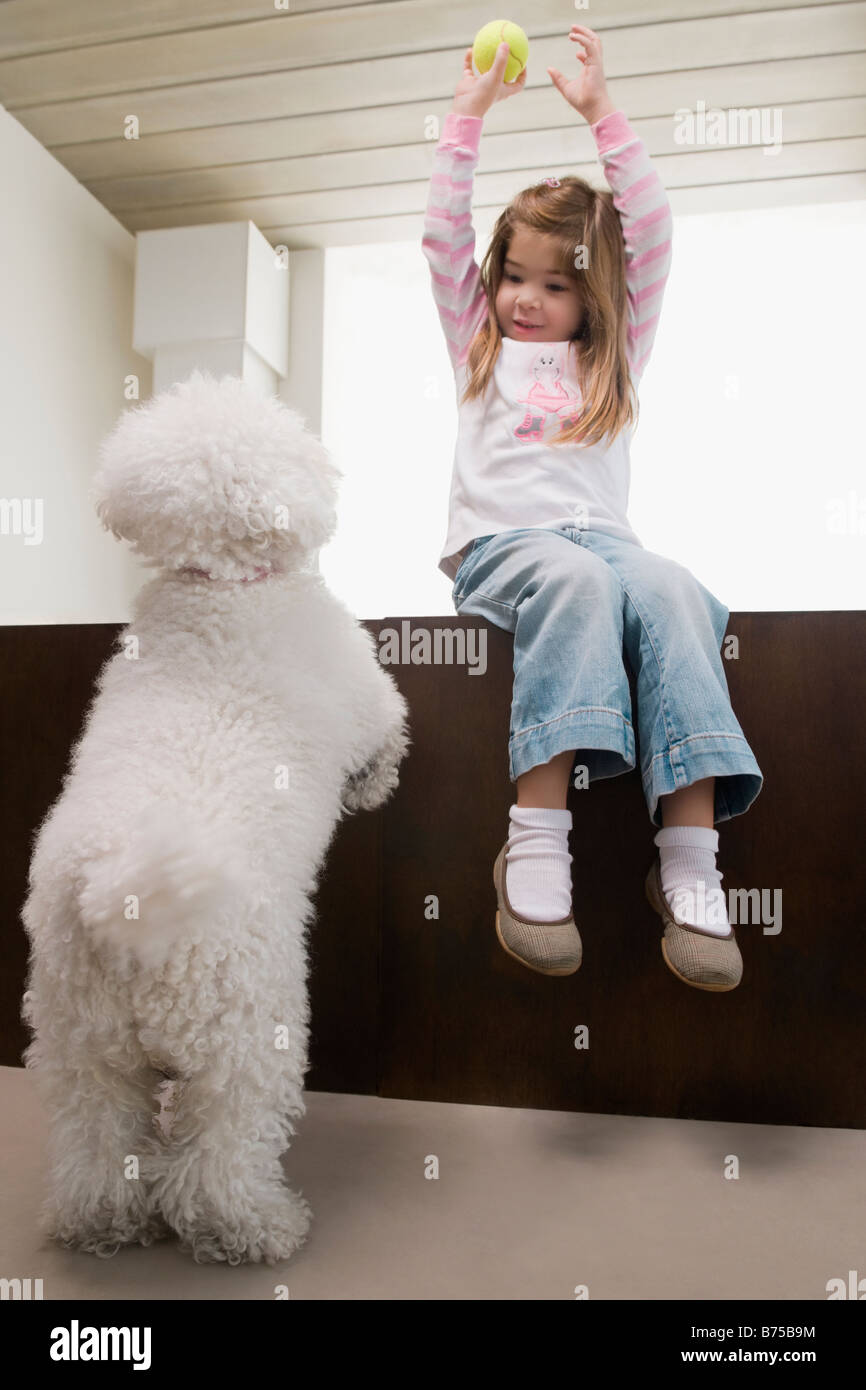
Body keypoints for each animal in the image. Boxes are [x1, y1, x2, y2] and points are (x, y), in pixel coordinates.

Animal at [20, 369, 411, 1273]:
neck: (220, 585)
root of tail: (118, 898)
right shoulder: (359, 686)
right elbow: (387, 725)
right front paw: (376, 782)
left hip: (76, 1036)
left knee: (97, 1143)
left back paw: (101, 1224)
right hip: (249, 1032)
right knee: (220, 1155)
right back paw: (255, 1230)